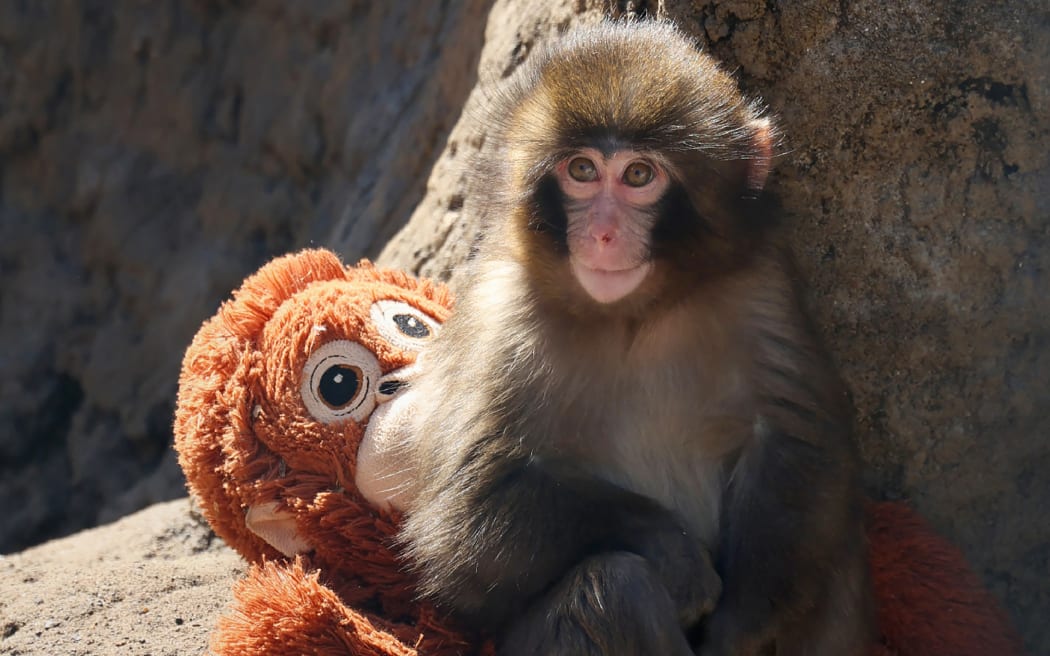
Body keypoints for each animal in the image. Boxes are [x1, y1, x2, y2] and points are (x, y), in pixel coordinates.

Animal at [398, 20, 874, 656]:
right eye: (581, 171)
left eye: (639, 176)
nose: (601, 233)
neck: (634, 315)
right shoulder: (501, 317)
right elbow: (466, 517)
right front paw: (671, 550)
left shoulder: (761, 282)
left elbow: (796, 442)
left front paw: (739, 630)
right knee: (614, 585)